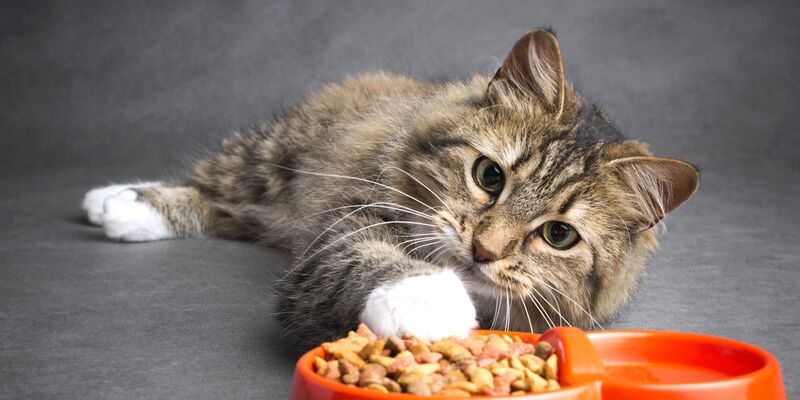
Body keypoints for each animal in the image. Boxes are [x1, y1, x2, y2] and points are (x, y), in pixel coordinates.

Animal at [81, 29, 700, 346]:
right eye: (489, 176)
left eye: (558, 236)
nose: (484, 250)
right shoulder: (341, 230)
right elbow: (371, 258)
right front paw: (426, 300)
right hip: (270, 157)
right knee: (210, 185)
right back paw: (118, 202)